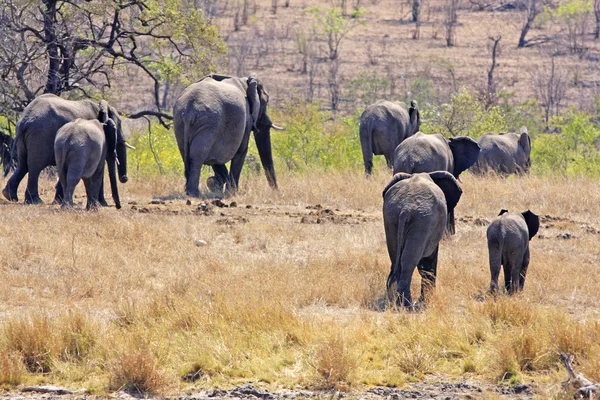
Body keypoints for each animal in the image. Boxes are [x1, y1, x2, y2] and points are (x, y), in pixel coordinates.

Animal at [1, 94, 132, 205]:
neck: (100, 106)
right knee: (35, 167)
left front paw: (58, 201)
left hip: (26, 137)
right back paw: (35, 201)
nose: (124, 178)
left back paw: (10, 196)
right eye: (119, 124)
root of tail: (24, 120)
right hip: (40, 135)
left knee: (23, 164)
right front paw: (102, 204)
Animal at [382, 170, 462, 308]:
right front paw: (425, 301)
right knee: (409, 261)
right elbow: (429, 261)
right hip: (422, 222)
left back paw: (399, 301)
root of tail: (405, 209)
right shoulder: (430, 228)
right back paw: (407, 305)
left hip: (391, 218)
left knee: (395, 257)